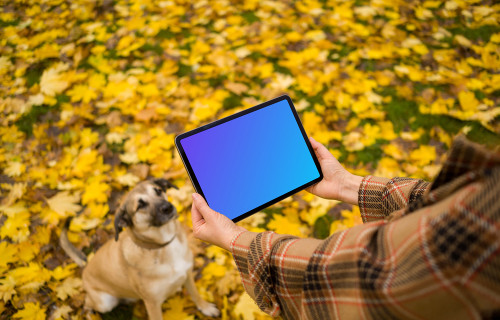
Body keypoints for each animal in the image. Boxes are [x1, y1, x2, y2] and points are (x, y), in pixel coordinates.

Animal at [59, 179, 220, 318]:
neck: (163, 246)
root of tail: (86, 266)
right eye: (140, 206)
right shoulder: (152, 304)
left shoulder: (187, 274)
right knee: (87, 305)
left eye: (158, 190)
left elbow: (195, 294)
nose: (167, 208)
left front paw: (205, 307)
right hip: (104, 303)